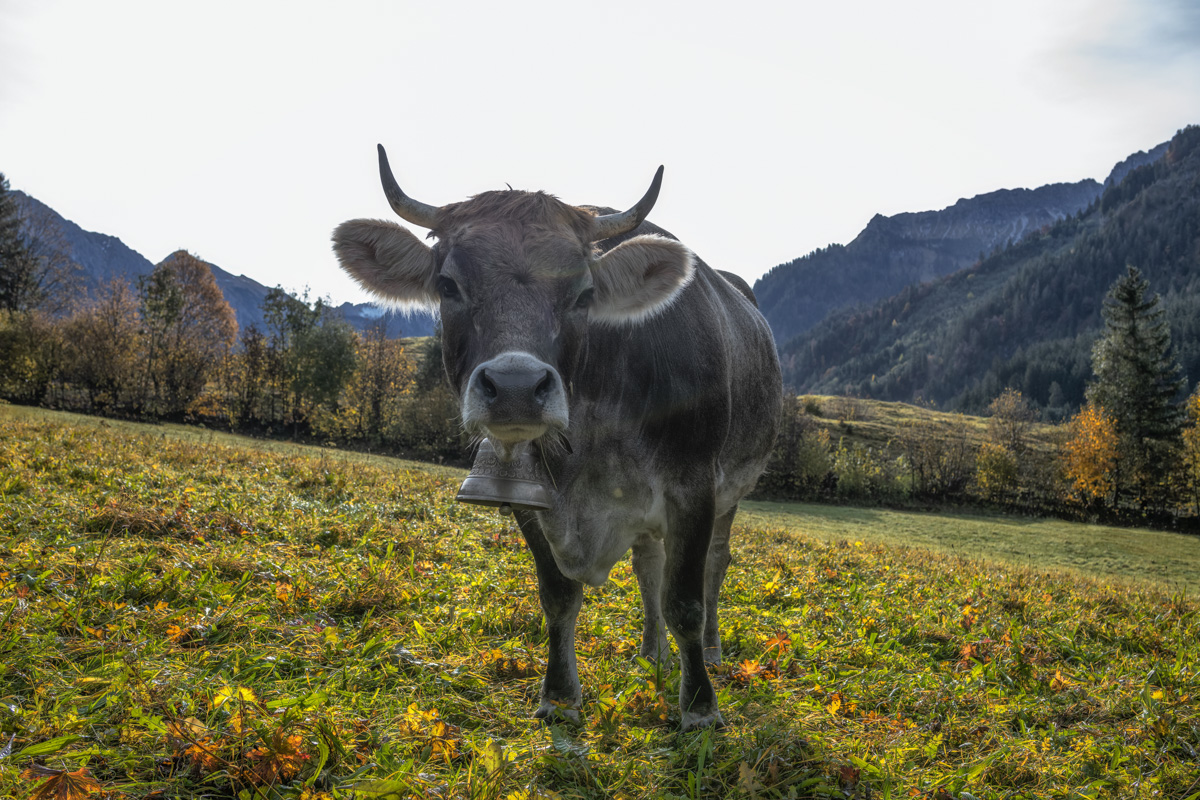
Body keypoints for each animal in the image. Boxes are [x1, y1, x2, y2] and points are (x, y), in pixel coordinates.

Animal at [332, 146, 782, 730]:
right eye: (448, 285)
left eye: (584, 293)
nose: (516, 387)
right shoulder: (527, 494)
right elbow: (559, 596)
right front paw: (560, 695)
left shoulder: (694, 485)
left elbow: (685, 600)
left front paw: (701, 708)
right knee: (648, 564)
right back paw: (652, 652)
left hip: (732, 491)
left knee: (714, 564)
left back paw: (708, 652)